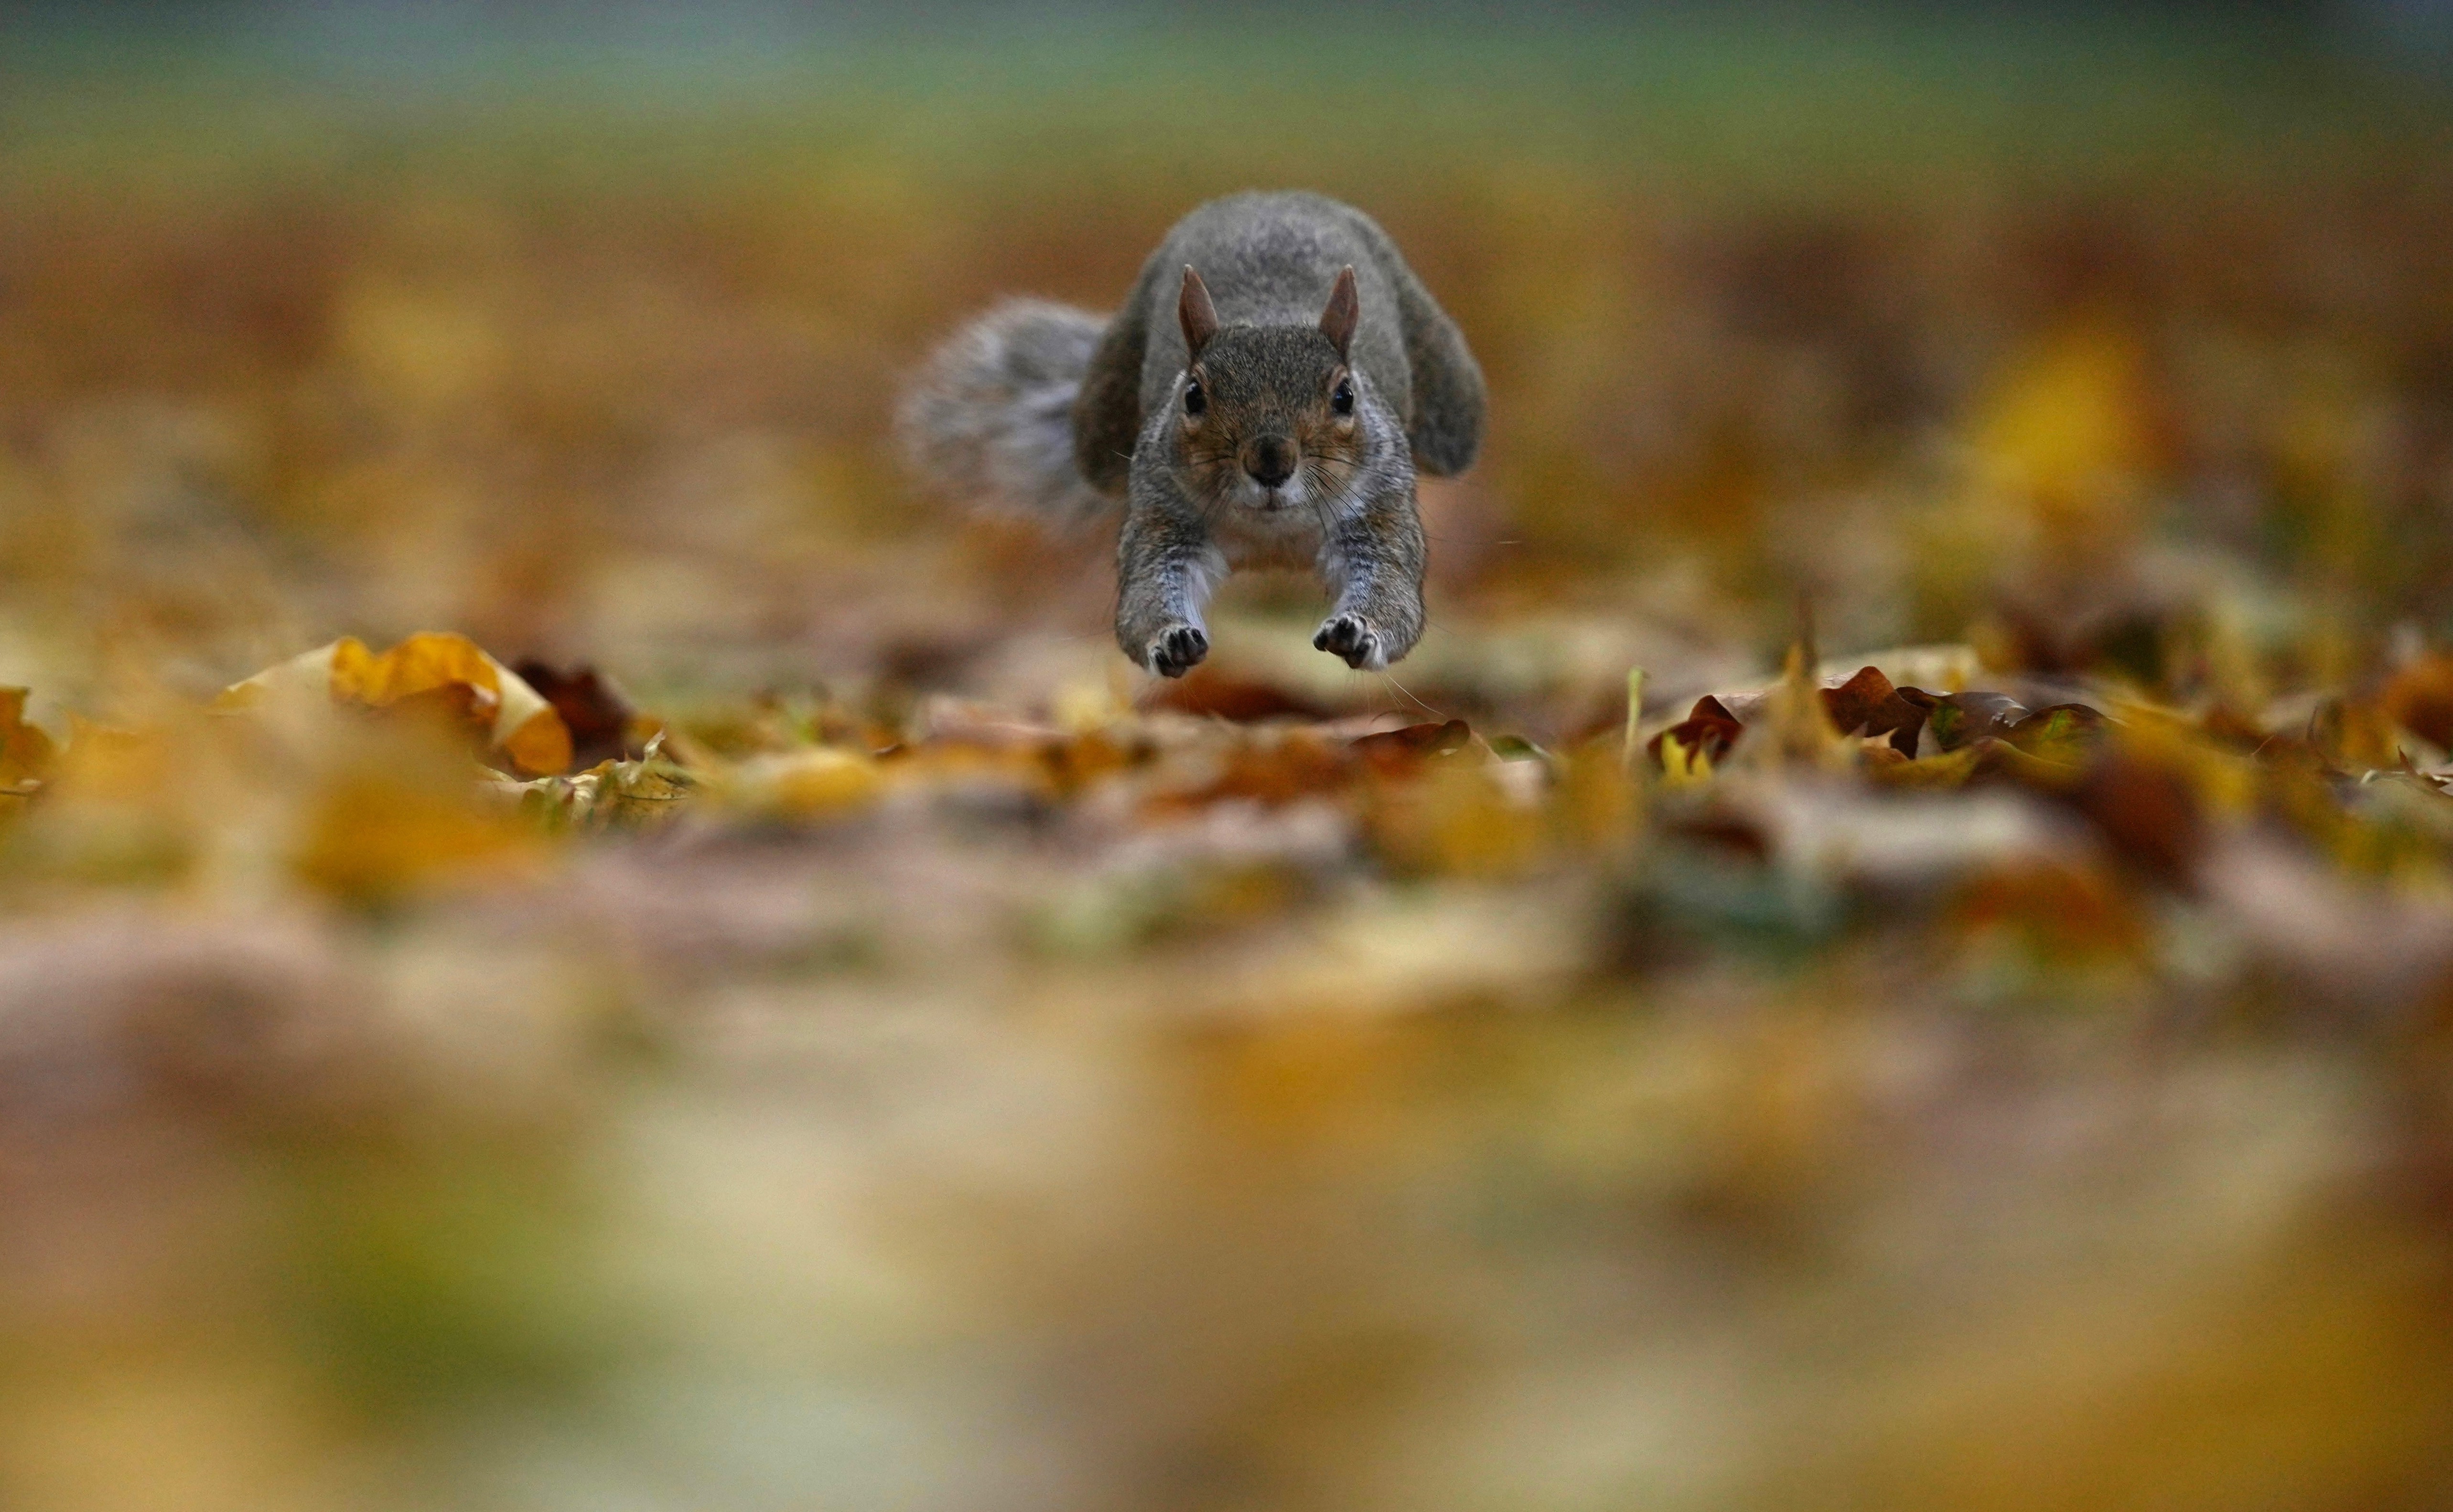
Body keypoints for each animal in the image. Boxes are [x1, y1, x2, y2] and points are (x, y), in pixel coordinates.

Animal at [900, 191, 1485, 677]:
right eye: (1193, 395)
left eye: (1345, 397)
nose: (1270, 461)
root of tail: (1273, 196)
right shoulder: (1163, 516)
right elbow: (1145, 593)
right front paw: (1170, 639)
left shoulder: (1379, 512)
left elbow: (1393, 590)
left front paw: (1359, 631)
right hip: (1099, 424)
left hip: (1453, 415)